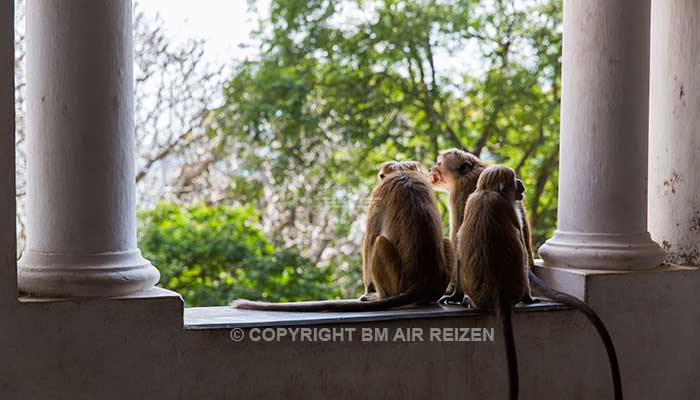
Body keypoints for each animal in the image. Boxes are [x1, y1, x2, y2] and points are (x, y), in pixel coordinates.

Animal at [432, 150, 624, 400]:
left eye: (439, 163)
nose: (431, 169)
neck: (470, 173)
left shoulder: (460, 194)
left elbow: (457, 236)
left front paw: (454, 295)